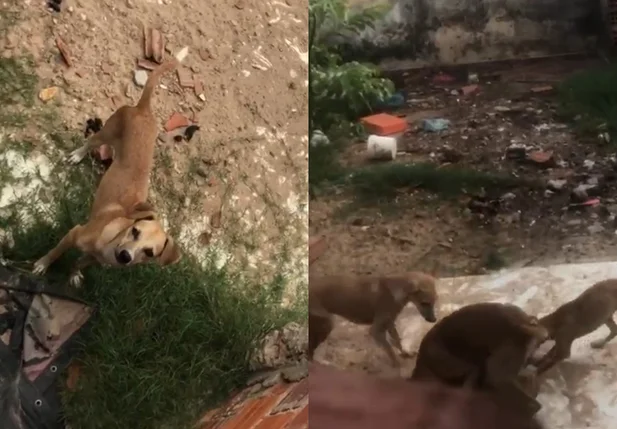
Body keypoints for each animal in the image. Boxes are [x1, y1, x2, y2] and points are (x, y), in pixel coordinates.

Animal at [31, 46, 188, 284]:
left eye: (150, 252)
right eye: (135, 231)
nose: (125, 256)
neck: (110, 243)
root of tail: (143, 109)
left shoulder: (93, 260)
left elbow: (79, 262)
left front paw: (74, 274)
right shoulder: (74, 233)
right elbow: (55, 253)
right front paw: (42, 264)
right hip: (104, 133)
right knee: (89, 143)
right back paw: (77, 156)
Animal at [308, 272, 438, 366]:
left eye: (434, 301)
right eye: (424, 303)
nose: (434, 320)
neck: (395, 290)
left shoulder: (389, 322)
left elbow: (397, 340)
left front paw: (405, 353)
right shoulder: (375, 330)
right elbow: (389, 349)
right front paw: (397, 363)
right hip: (327, 323)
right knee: (313, 351)